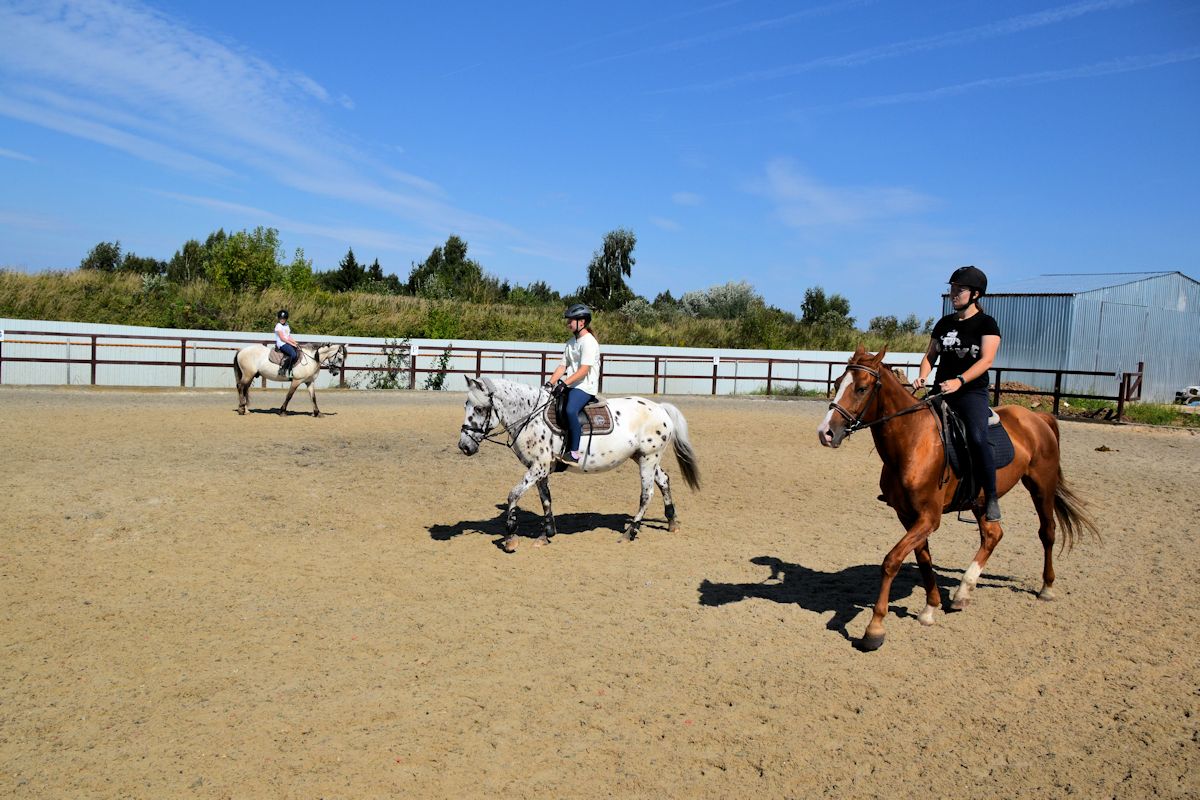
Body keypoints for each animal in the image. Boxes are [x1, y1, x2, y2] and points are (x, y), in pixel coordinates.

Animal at [458, 376, 700, 551]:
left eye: (479, 409)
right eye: (466, 405)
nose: (464, 446)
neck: (530, 417)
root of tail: (660, 407)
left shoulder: (538, 468)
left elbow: (513, 494)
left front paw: (510, 537)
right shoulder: (539, 469)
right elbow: (546, 499)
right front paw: (546, 534)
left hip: (649, 458)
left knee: (646, 494)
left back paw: (630, 532)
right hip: (643, 456)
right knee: (664, 480)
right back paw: (672, 522)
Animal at [816, 345, 1099, 652]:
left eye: (861, 388)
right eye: (836, 384)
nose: (826, 432)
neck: (913, 441)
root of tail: (1038, 418)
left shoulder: (929, 517)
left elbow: (892, 561)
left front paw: (874, 629)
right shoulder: (909, 516)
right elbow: (923, 558)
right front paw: (930, 609)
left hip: (1041, 486)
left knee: (1047, 531)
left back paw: (1046, 587)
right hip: (982, 500)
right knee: (992, 535)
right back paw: (963, 592)